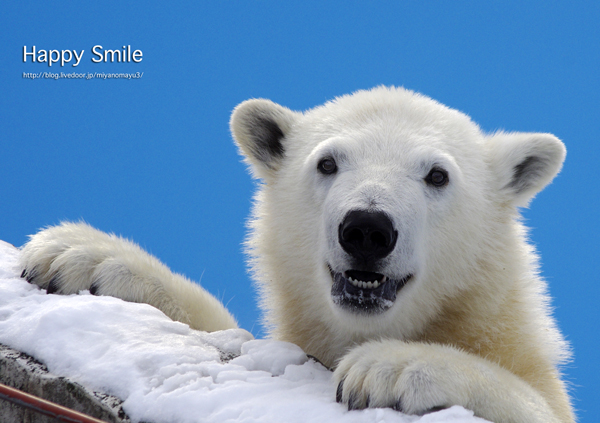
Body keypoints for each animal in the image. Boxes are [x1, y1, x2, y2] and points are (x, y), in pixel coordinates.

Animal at [18, 87, 572, 423]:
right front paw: (78, 255)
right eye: (327, 162)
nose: (367, 229)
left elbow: (535, 403)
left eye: (437, 174)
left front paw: (388, 368)